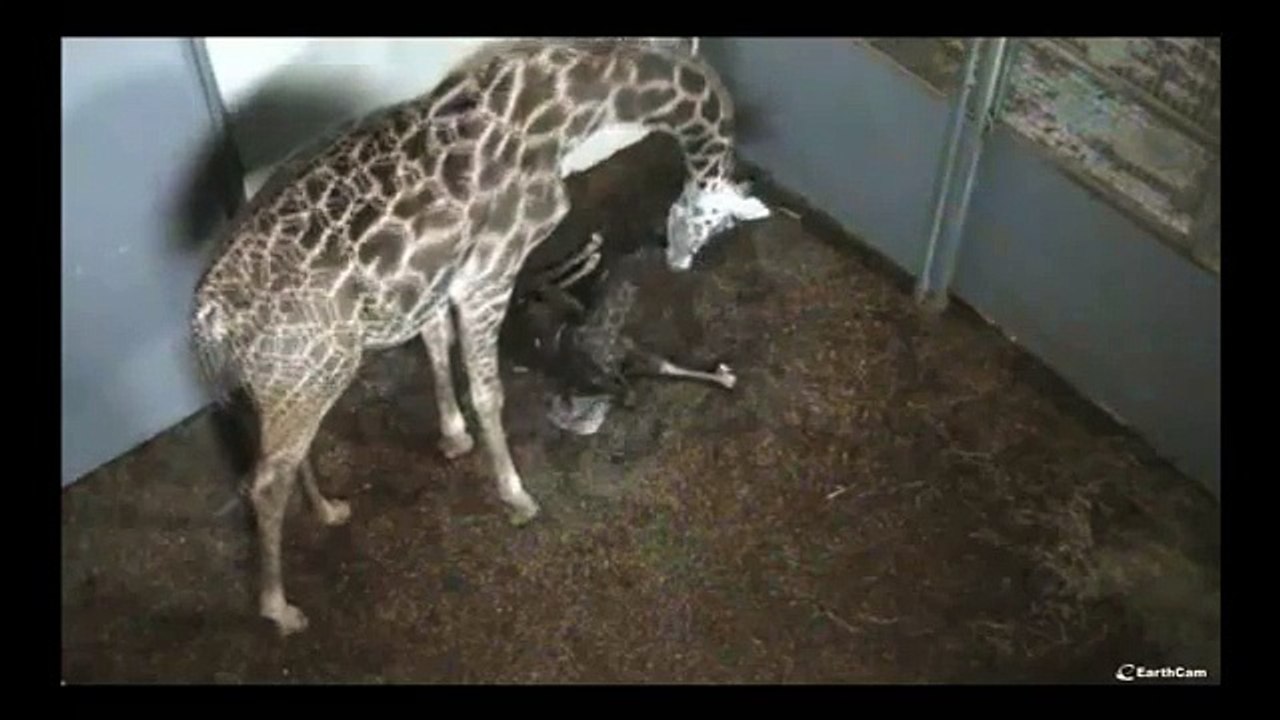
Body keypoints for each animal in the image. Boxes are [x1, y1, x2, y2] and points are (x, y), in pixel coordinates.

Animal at [190, 38, 770, 635]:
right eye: (714, 221)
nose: (679, 261)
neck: (572, 108)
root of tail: (208, 317)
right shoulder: (491, 271)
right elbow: (489, 393)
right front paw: (517, 496)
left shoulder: (442, 278)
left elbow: (437, 347)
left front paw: (452, 437)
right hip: (310, 373)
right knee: (262, 482)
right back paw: (280, 608)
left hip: (291, 380)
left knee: (280, 460)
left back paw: (329, 510)